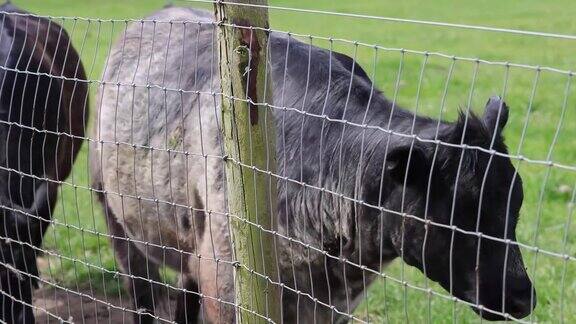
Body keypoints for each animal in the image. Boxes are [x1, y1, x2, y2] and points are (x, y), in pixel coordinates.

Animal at [90, 5, 536, 324]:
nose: (521, 296)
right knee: (143, 295)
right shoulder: (227, 286)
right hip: (119, 223)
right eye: (456, 214)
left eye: (516, 203)